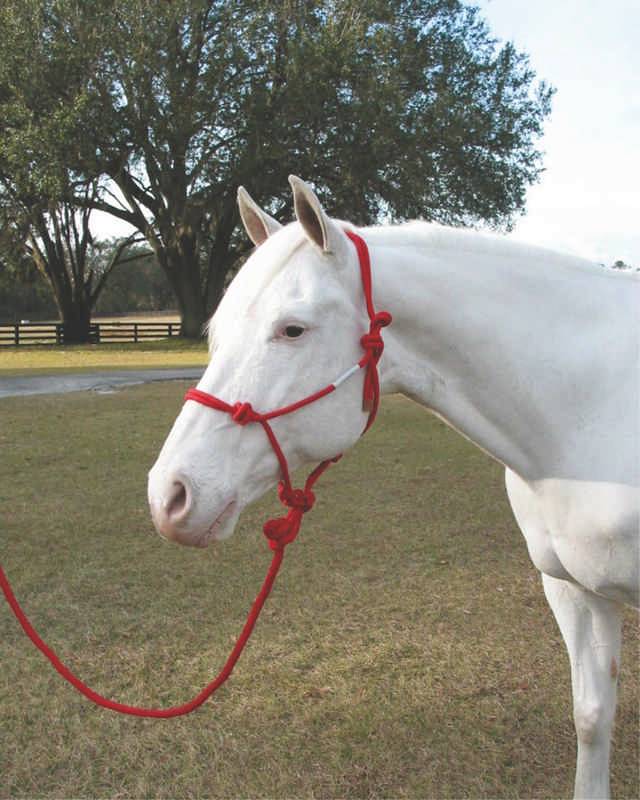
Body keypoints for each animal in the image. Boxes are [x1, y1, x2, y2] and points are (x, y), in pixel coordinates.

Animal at [148, 176, 639, 799]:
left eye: (292, 329)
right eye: (217, 331)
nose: (170, 496)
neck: (589, 410)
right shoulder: (573, 590)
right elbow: (592, 715)